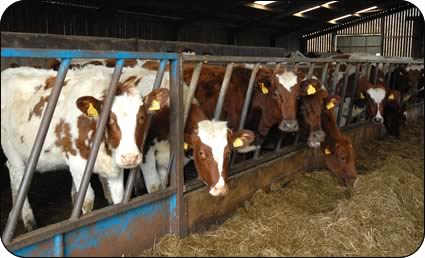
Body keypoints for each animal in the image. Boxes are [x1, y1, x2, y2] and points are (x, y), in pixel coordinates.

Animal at [0, 65, 169, 231]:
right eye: (109, 118)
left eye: (141, 117)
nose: (130, 157)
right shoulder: (77, 163)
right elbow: (87, 201)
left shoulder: (115, 166)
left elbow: (119, 198)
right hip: (11, 148)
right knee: (17, 174)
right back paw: (28, 219)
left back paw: (13, 215)